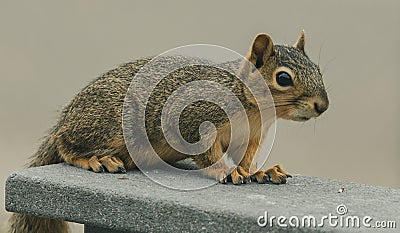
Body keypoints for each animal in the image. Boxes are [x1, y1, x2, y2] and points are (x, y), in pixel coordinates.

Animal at [9, 31, 328, 233]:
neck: (251, 106)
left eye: (319, 70)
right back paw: (96, 159)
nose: (323, 106)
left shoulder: (250, 137)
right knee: (67, 146)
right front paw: (226, 171)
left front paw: (259, 172)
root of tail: (66, 118)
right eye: (283, 78)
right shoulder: (195, 121)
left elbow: (246, 159)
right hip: (108, 124)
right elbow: (208, 154)